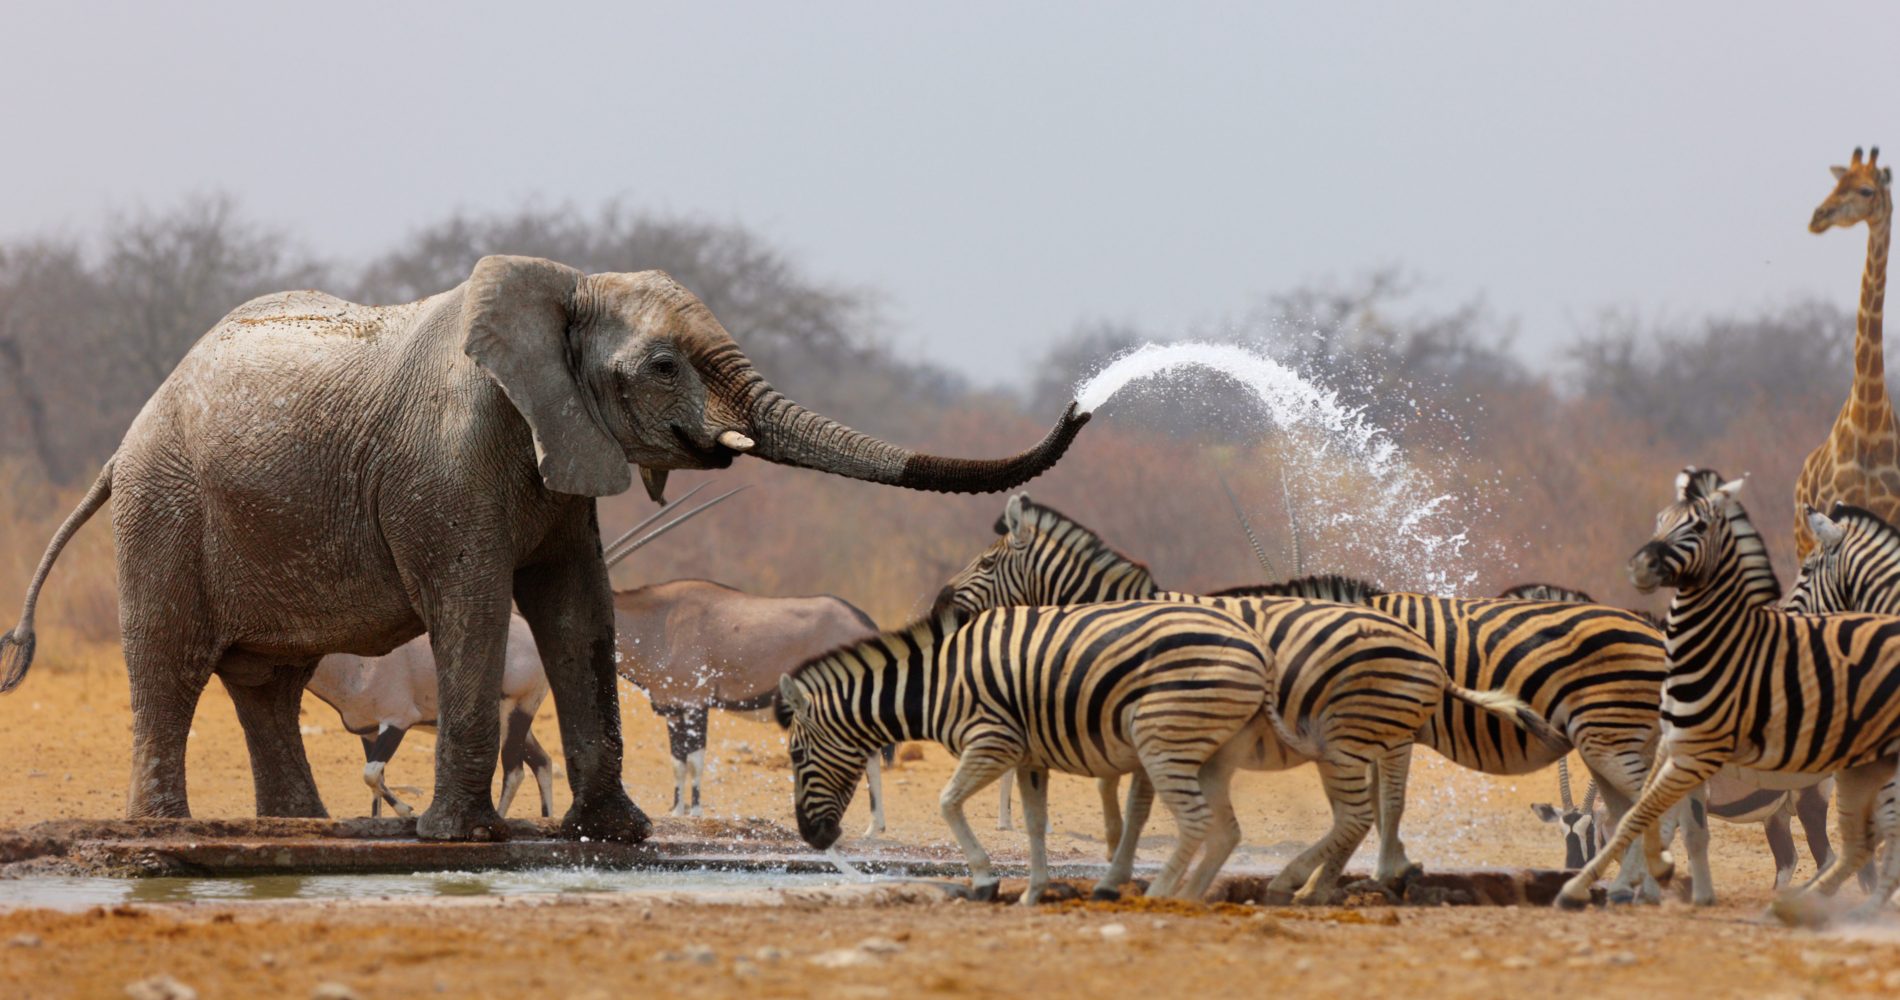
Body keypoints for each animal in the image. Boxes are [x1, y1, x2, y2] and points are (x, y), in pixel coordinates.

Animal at [0, 254, 1086, 844]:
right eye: (663, 366)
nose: (1083, 399)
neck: (564, 288)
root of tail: (124, 441)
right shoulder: (448, 459)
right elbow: (476, 607)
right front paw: (460, 838)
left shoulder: (563, 450)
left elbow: (579, 612)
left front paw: (616, 833)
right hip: (165, 506)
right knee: (172, 662)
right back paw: (166, 830)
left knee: (268, 679)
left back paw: (297, 829)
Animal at [771, 604, 1276, 908]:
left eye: (796, 753)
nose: (813, 838)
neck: (936, 684)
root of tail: (1258, 645)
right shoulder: (1030, 757)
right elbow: (1034, 824)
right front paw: (1032, 893)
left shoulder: (993, 741)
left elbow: (947, 803)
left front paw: (984, 880)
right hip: (1206, 749)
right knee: (1221, 829)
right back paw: (1183, 894)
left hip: (1163, 738)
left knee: (1195, 820)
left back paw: (1160, 894)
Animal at [1550, 471, 1900, 916]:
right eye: (1561, 830)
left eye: (1591, 831)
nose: (1569, 866)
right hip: (1779, 814)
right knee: (1797, 859)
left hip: (1810, 800)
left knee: (1831, 855)